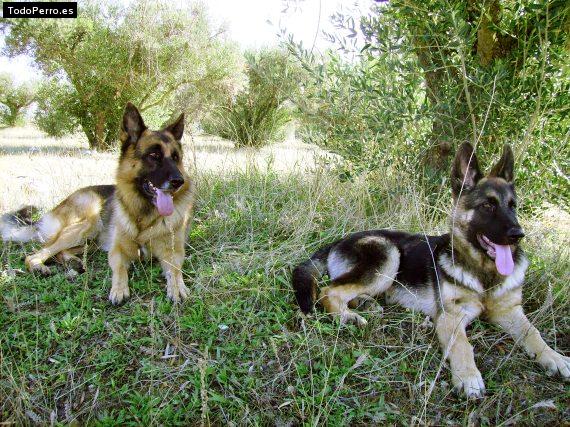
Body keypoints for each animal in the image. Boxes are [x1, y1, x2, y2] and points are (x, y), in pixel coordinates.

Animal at [1, 103, 194, 304]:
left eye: (175, 158)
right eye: (154, 155)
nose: (179, 181)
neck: (144, 216)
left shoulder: (173, 252)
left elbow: (175, 270)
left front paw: (177, 287)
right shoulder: (117, 251)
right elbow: (120, 270)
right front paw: (119, 289)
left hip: (91, 238)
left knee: (60, 251)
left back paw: (73, 261)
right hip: (89, 223)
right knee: (36, 254)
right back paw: (40, 266)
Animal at [292, 143, 568, 398]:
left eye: (513, 206)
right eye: (487, 206)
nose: (518, 235)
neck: (484, 273)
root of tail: (337, 241)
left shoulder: (510, 311)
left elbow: (533, 333)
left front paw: (554, 357)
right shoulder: (451, 317)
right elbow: (462, 345)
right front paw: (468, 377)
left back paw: (364, 304)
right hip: (388, 256)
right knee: (329, 291)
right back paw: (348, 316)